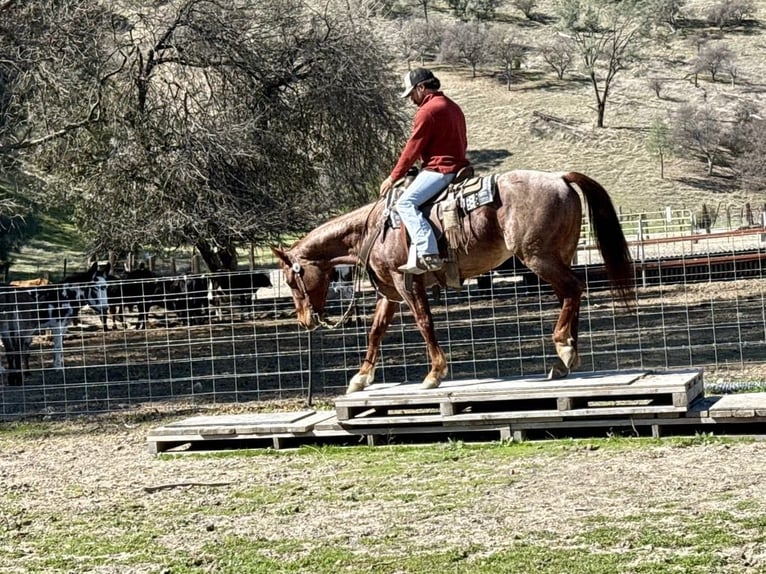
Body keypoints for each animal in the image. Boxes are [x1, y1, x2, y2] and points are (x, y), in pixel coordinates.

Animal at [272, 169, 635, 394]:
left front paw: (434, 373)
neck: (373, 229)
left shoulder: (407, 283)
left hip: (538, 258)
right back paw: (564, 360)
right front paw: (361, 378)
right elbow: (376, 331)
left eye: (290, 280)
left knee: (573, 289)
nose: (305, 321)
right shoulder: (389, 293)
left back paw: (563, 348)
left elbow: (424, 322)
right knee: (570, 296)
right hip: (559, 255)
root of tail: (559, 178)